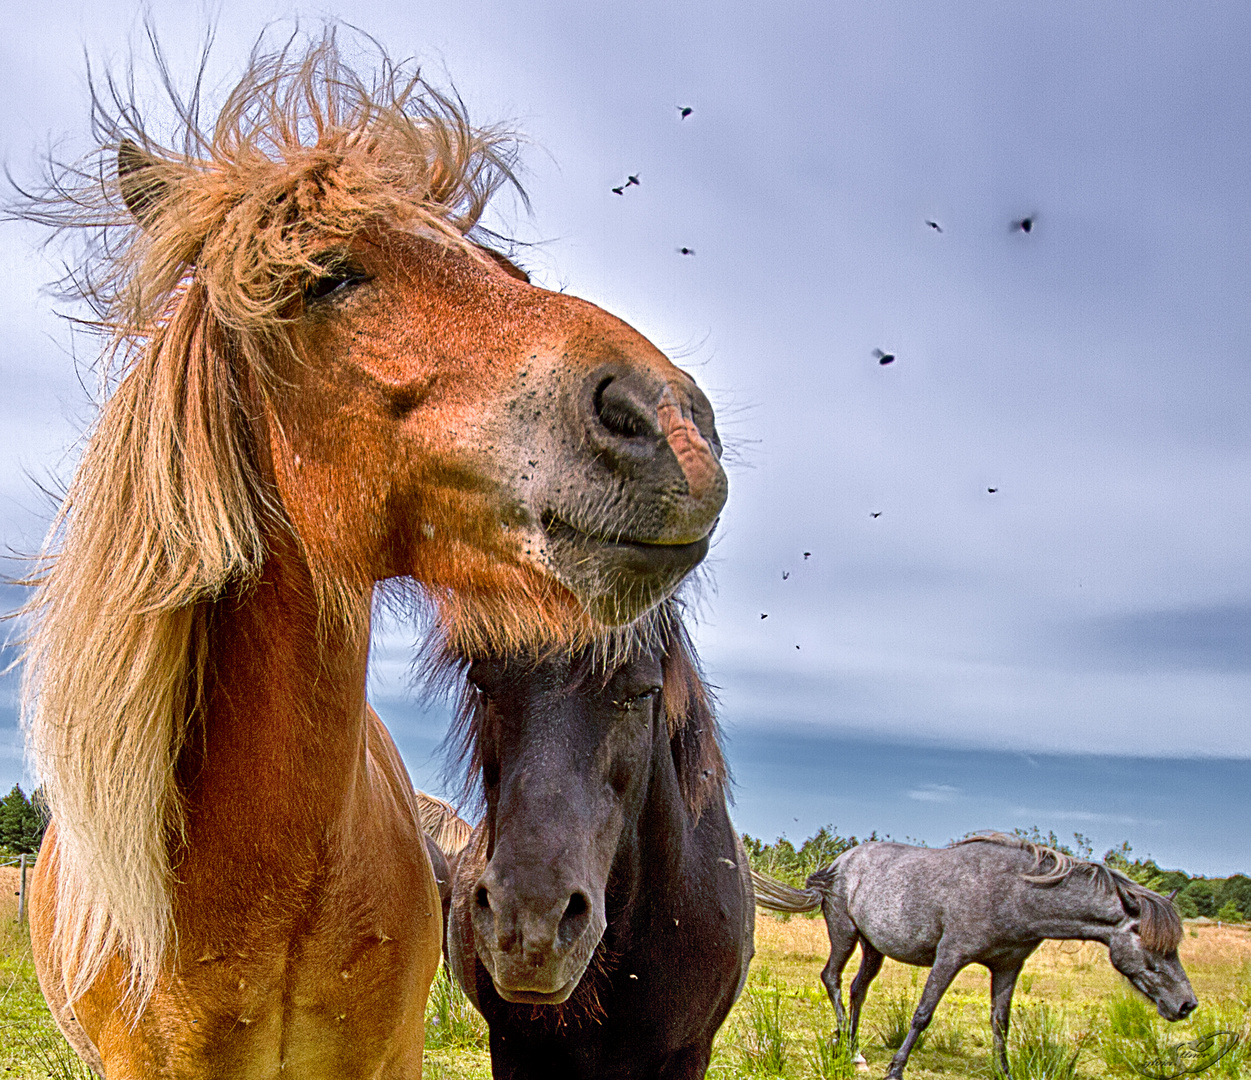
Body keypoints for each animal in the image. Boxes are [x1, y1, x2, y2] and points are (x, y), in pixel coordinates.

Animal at [745, 830, 1195, 1076]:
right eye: (1153, 946)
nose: (1186, 1004)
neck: (1015, 892)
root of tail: (839, 861)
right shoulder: (951, 956)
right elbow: (923, 1013)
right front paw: (896, 1070)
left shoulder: (1009, 966)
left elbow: (1001, 1023)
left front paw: (1005, 1072)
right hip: (844, 932)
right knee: (833, 978)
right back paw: (847, 1048)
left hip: (874, 946)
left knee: (858, 988)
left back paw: (853, 1047)